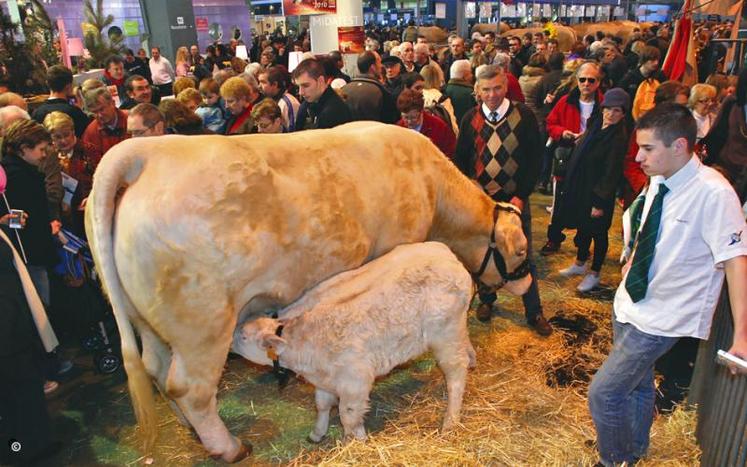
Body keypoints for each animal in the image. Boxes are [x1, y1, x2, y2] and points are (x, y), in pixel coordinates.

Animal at [234, 243, 476, 444]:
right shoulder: (324, 381)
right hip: (457, 328)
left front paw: (354, 442)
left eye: (244, 336)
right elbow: (322, 405)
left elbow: (348, 415)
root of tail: (446, 253)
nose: (230, 342)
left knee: (456, 373)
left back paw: (450, 421)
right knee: (466, 348)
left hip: (445, 335)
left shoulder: (356, 379)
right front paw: (317, 433)